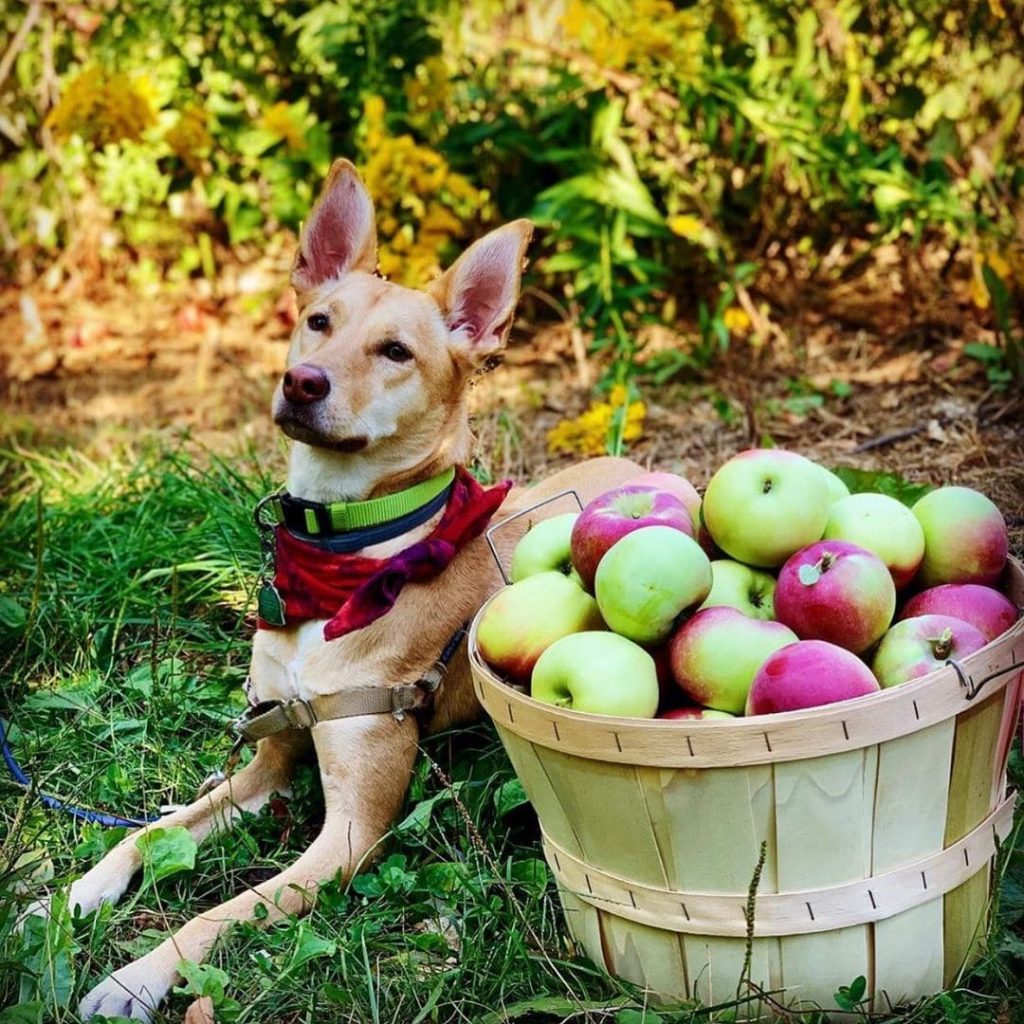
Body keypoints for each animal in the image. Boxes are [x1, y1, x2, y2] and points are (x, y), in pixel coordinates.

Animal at [58, 159, 638, 1015]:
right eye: (318, 321)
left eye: (395, 351)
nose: (303, 382)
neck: (343, 556)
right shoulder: (267, 762)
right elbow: (148, 833)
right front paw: (72, 895)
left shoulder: (351, 835)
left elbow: (221, 912)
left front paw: (137, 977)